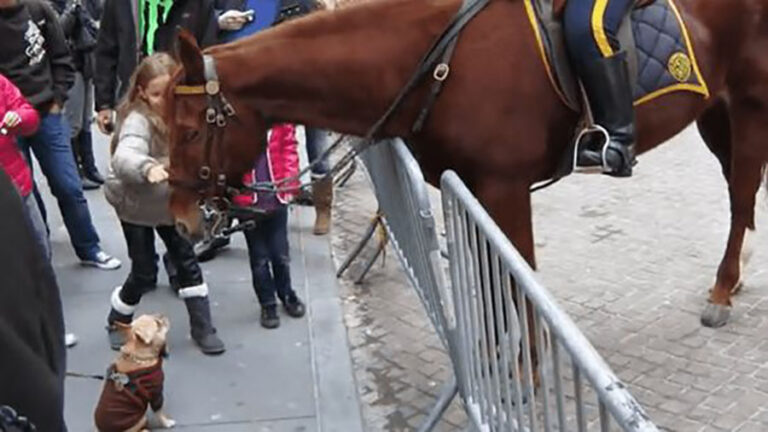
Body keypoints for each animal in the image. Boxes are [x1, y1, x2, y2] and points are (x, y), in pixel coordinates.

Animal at [165, 0, 768, 328]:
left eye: (190, 130)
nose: (182, 219)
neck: (437, 59)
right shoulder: (471, 193)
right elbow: (494, 285)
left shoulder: (504, 187)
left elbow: (517, 289)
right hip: (715, 113)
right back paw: (732, 279)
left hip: (750, 104)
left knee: (742, 195)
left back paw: (721, 291)